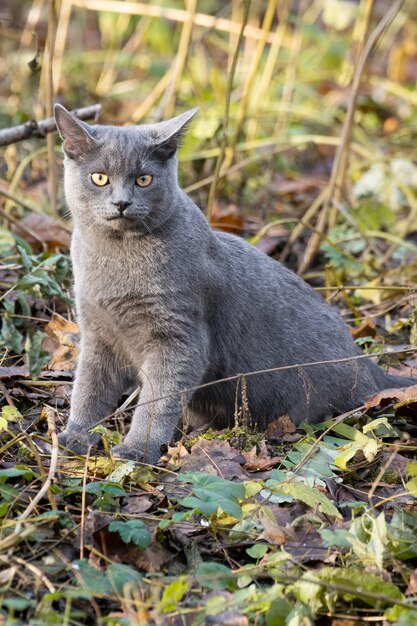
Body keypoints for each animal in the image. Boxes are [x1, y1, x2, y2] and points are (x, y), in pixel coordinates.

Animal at [54, 103, 412, 464]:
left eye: (144, 179)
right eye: (99, 177)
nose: (121, 203)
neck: (116, 261)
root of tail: (367, 366)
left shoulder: (180, 337)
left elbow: (158, 401)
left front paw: (136, 449)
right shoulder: (98, 333)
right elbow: (89, 389)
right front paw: (75, 437)